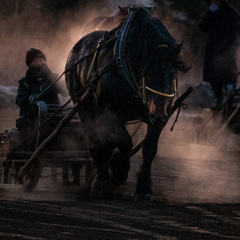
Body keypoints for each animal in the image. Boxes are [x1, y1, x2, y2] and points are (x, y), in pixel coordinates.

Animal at [65, 6, 189, 200]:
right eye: (149, 73)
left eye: (173, 74)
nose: (159, 114)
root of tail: (76, 48)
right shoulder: (110, 111)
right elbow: (124, 141)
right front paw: (119, 172)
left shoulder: (155, 114)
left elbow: (149, 147)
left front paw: (144, 188)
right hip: (84, 106)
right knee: (95, 140)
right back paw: (101, 180)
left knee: (106, 142)